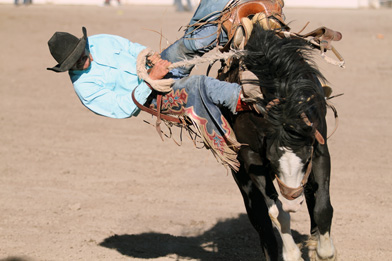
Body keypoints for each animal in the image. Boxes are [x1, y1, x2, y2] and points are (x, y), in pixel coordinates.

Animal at [220, 24, 336, 260]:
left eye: (306, 159)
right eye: (271, 162)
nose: (292, 200)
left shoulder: (319, 147)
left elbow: (322, 207)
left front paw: (324, 251)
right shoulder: (252, 158)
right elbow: (276, 212)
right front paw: (292, 254)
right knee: (260, 218)